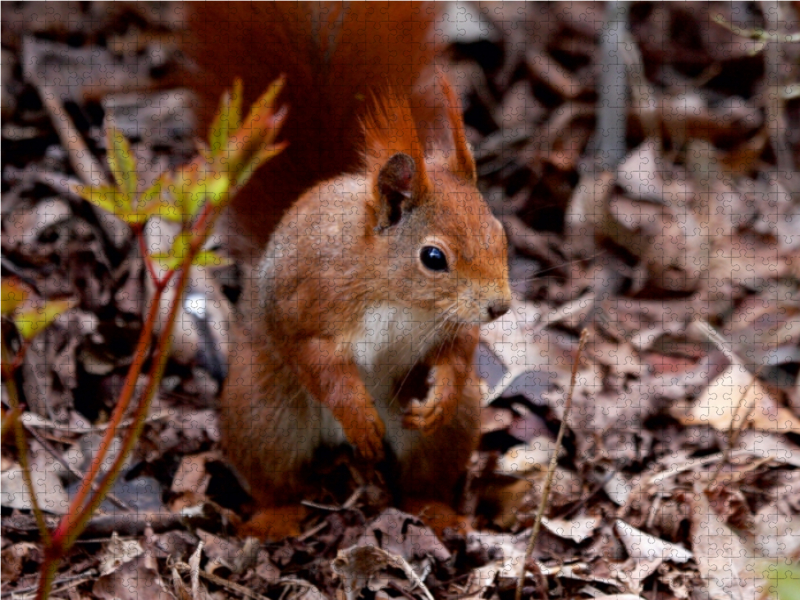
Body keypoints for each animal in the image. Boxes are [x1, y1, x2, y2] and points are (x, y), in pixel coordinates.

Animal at [183, 3, 512, 540]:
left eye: (500, 232)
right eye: (433, 258)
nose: (499, 306)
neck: (395, 292)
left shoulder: (450, 322)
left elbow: (458, 348)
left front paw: (441, 391)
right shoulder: (306, 298)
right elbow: (315, 356)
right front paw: (358, 414)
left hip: (451, 431)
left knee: (424, 477)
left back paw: (436, 510)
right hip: (263, 414)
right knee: (275, 477)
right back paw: (276, 516)